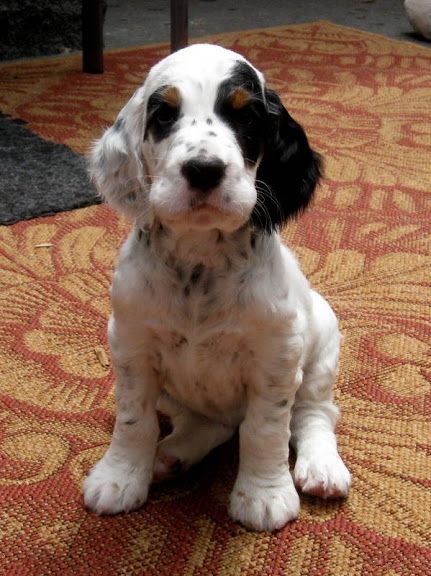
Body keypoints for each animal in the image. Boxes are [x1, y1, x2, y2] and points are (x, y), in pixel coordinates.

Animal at [83, 44, 352, 532]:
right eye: (164, 115)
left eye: (246, 117)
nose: (204, 170)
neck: (200, 259)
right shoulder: (131, 345)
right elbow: (133, 419)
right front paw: (119, 478)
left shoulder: (276, 355)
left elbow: (266, 428)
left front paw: (264, 494)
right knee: (212, 423)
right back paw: (170, 455)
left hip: (322, 347)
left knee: (314, 414)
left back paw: (322, 468)